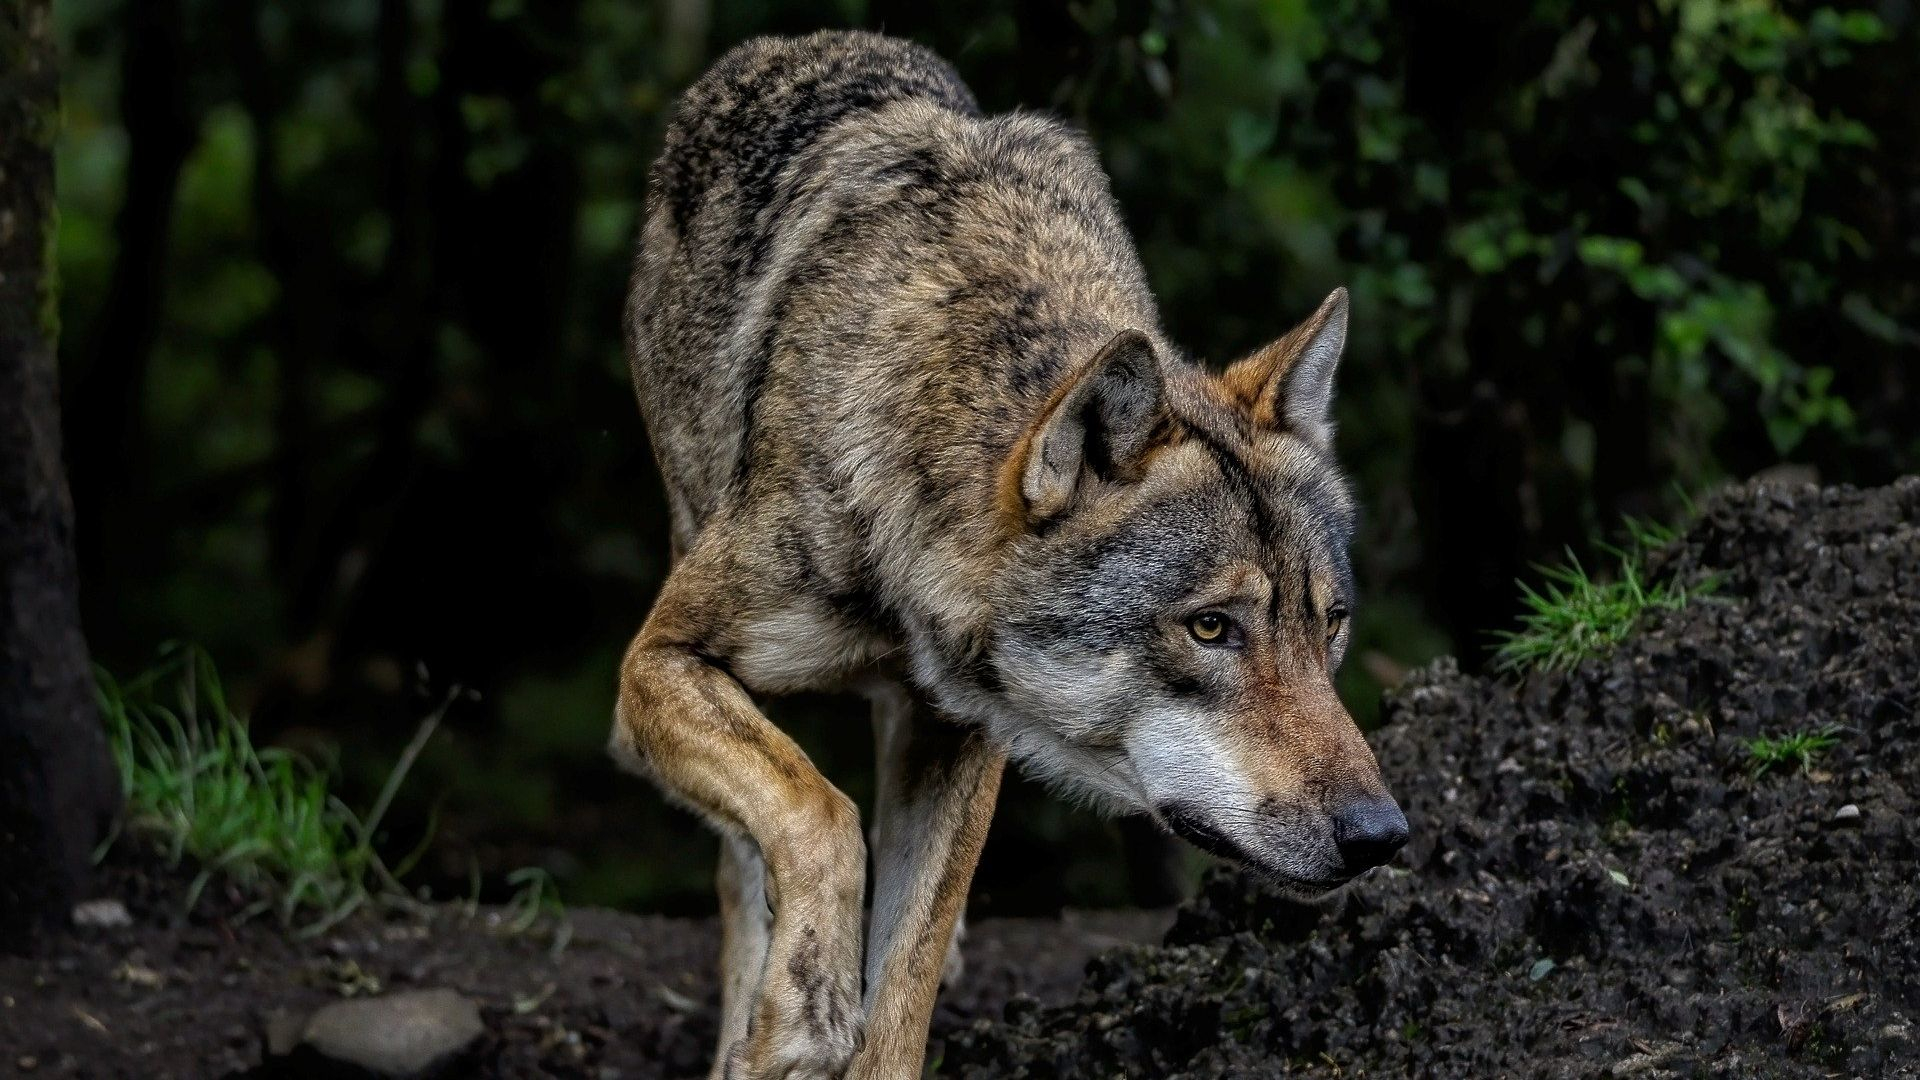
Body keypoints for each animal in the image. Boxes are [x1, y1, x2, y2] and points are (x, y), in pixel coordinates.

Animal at [613, 29, 1408, 1080]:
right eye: (1211, 629)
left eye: (1332, 626)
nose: (1382, 836)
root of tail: (785, 45)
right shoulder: (658, 662)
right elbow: (818, 813)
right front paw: (804, 1005)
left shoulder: (963, 736)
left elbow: (901, 985)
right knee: (746, 865)